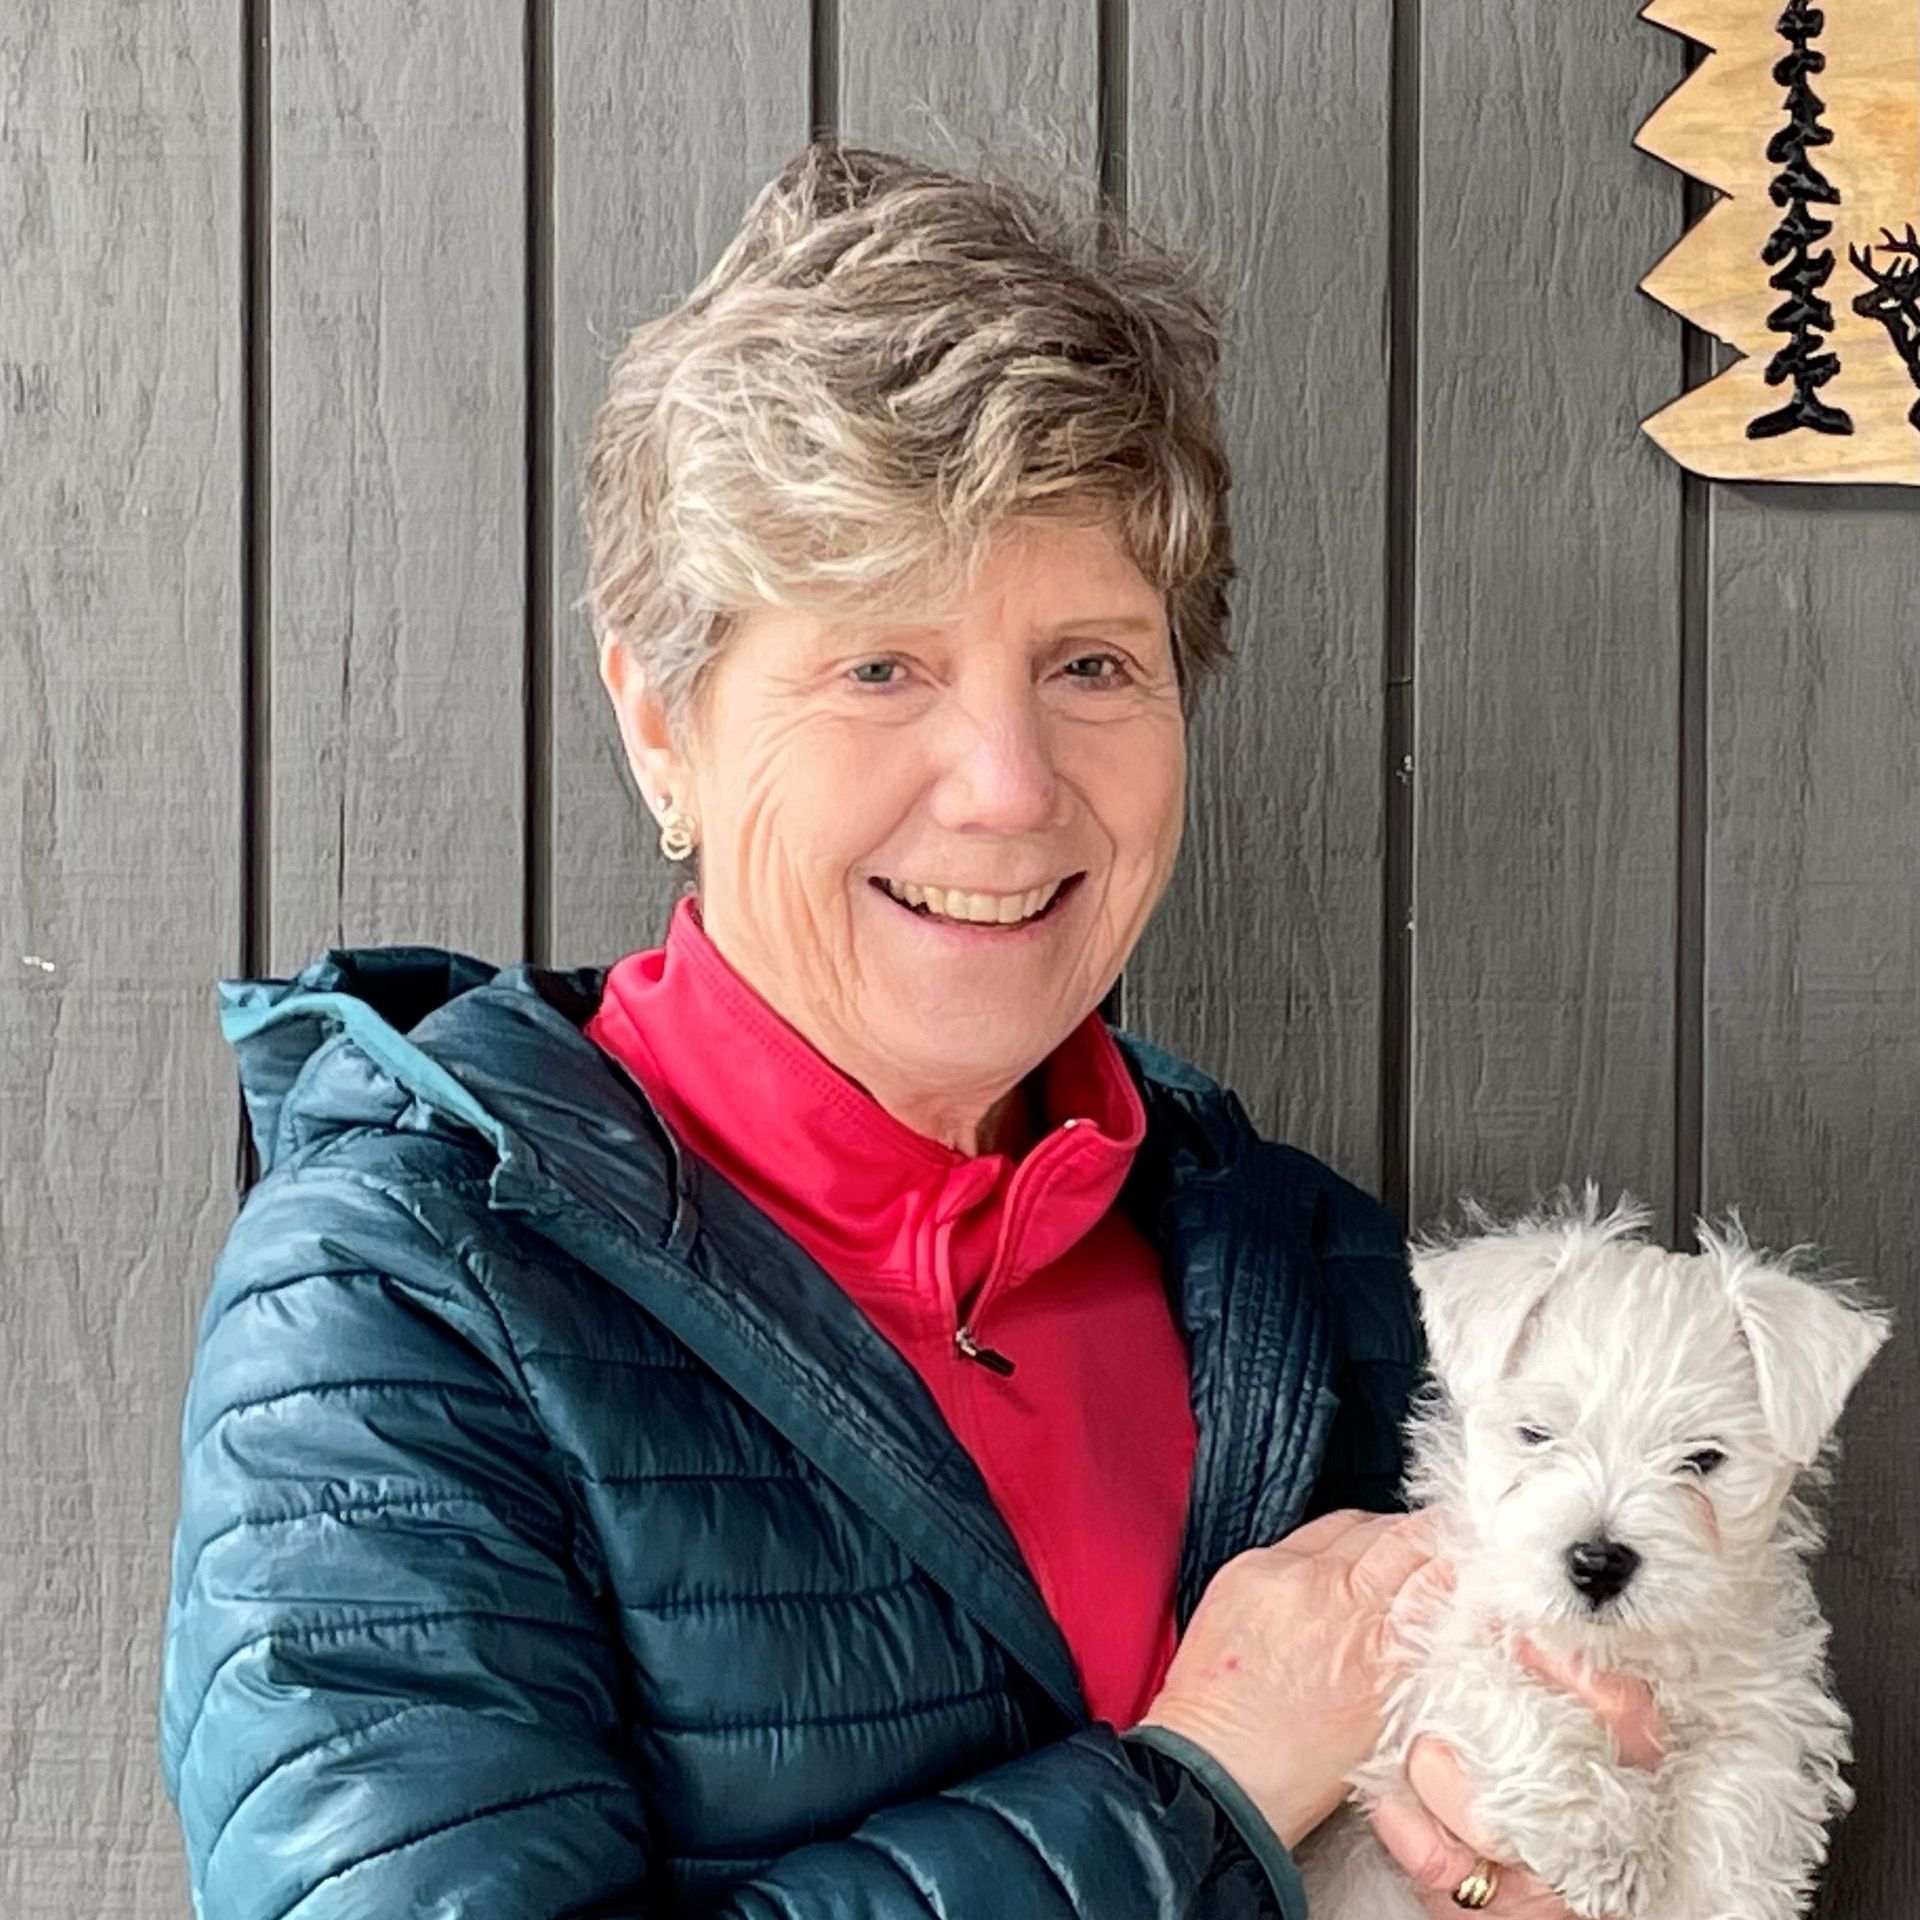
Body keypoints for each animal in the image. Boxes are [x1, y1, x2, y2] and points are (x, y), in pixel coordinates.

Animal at [1290, 1182, 1889, 1920]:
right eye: (1535, 1433)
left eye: (1704, 1459)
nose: (1598, 1564)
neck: (1618, 1652)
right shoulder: (1430, 1656)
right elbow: (1514, 1704)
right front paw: (1608, 1847)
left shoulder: (1762, 1704)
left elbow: (1740, 1805)